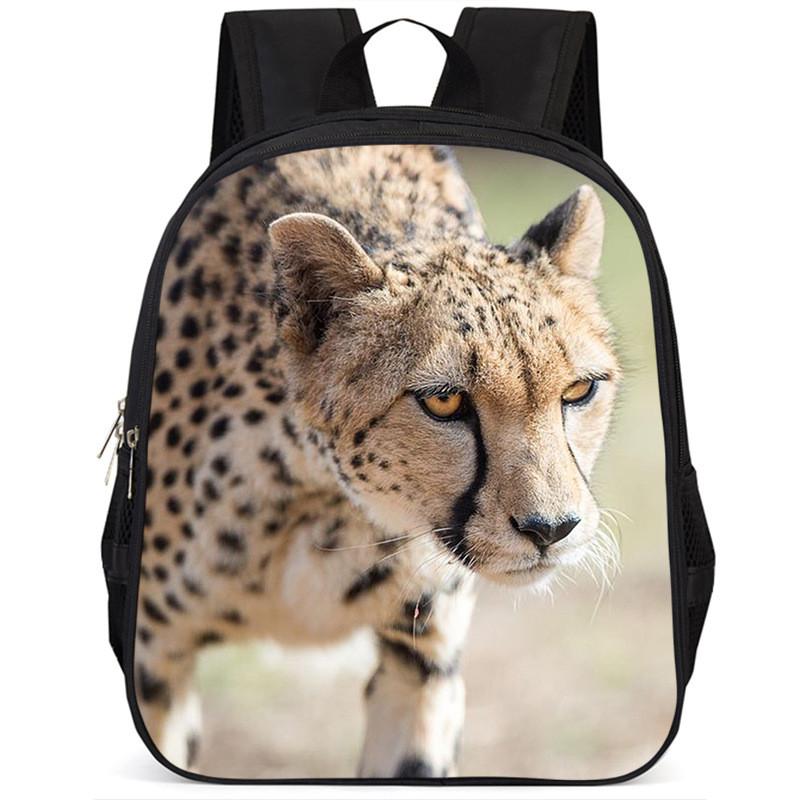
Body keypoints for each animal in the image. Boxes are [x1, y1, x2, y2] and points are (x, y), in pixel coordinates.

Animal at [134, 144, 619, 779]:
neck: (326, 497)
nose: (551, 529)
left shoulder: (422, 663)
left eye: (579, 391)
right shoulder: (154, 666)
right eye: (444, 401)